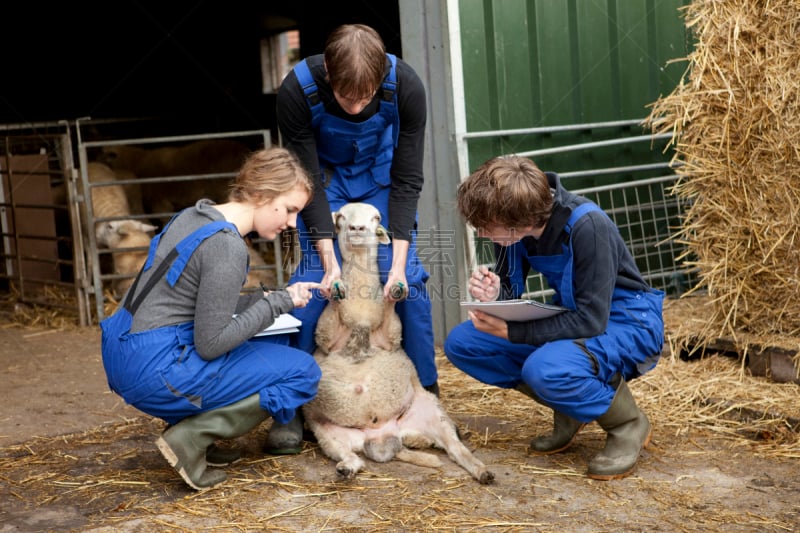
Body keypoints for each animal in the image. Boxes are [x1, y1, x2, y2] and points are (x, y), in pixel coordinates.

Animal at [302, 202, 494, 484]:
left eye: (375, 217)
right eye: (341, 217)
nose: (357, 228)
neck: (361, 314)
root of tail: (382, 437)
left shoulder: (390, 336)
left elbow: (391, 312)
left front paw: (394, 291)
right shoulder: (327, 338)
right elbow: (333, 310)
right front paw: (335, 287)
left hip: (431, 411)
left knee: (455, 447)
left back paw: (482, 471)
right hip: (325, 432)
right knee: (351, 457)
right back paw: (347, 468)